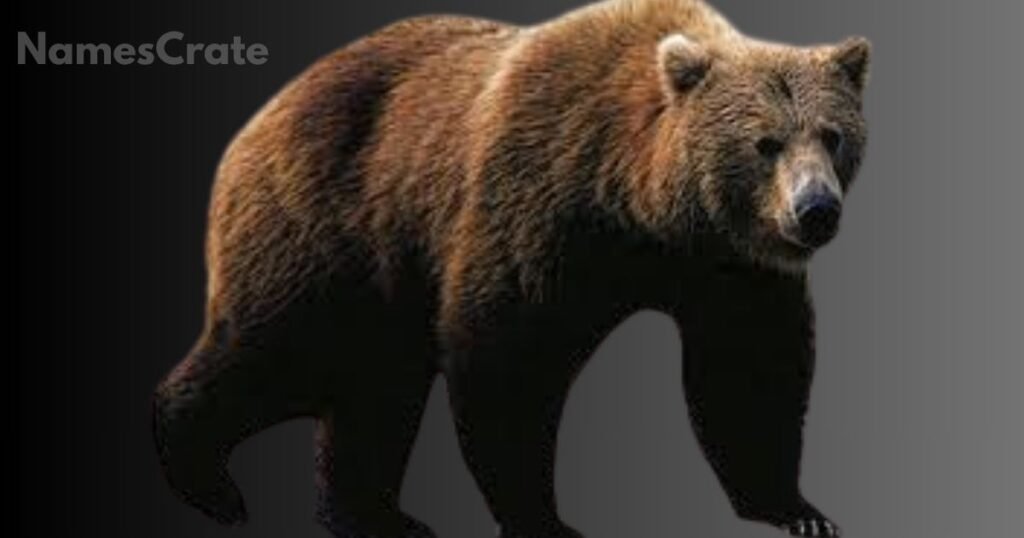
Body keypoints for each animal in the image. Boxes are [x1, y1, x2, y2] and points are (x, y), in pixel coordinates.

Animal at [152, 1, 870, 537]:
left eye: (832, 135)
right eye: (765, 143)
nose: (816, 210)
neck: (639, 205)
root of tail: (261, 117)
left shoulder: (726, 265)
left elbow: (748, 370)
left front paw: (797, 510)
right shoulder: (540, 202)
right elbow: (510, 355)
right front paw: (544, 519)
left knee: (376, 381)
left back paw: (374, 515)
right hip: (330, 219)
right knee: (290, 348)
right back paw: (205, 478)